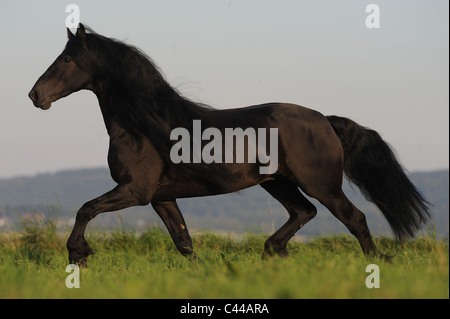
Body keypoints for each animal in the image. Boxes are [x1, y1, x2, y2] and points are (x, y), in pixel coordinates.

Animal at [29, 24, 430, 264]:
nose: (35, 96)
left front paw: (78, 255)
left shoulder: (135, 191)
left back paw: (375, 263)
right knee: (303, 213)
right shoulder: (161, 197)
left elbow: (85, 209)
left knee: (354, 219)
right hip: (278, 183)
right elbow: (184, 241)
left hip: (321, 185)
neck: (142, 127)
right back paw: (273, 252)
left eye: (67, 58)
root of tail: (325, 120)